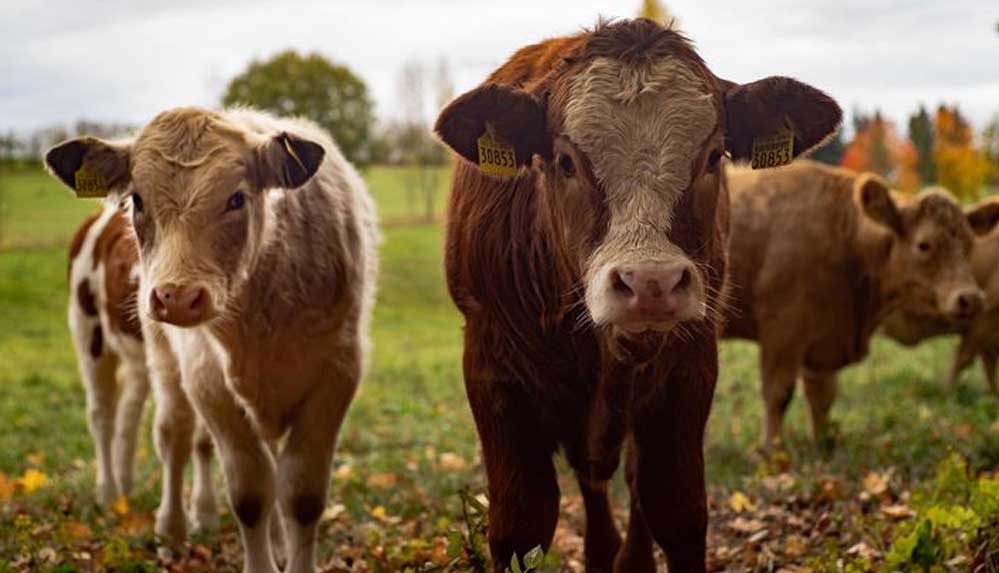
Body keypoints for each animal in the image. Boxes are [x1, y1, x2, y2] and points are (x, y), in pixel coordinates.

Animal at [65, 201, 218, 524]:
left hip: (139, 357)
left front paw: (205, 513)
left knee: (129, 410)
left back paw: (124, 485)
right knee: (101, 414)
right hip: (88, 329)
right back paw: (108, 493)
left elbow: (205, 439)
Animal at [434, 17, 840, 572]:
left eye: (712, 157)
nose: (651, 282)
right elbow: (521, 526)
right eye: (565, 161)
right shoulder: (493, 372)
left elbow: (677, 510)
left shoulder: (689, 369)